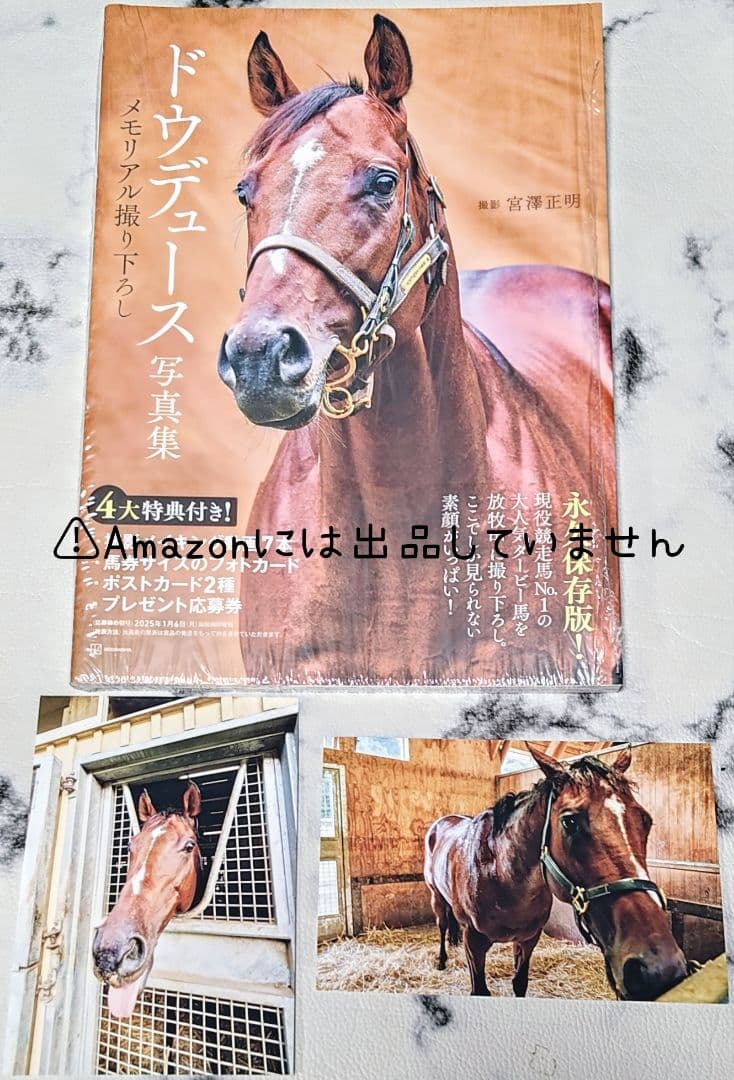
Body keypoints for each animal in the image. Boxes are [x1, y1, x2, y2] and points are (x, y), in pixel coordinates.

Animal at [424, 745, 688, 1000]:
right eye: (569, 822)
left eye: (646, 820)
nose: (658, 967)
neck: (500, 875)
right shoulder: (474, 943)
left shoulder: (528, 939)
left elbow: (520, 983)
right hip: (436, 897)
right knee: (442, 924)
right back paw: (441, 960)